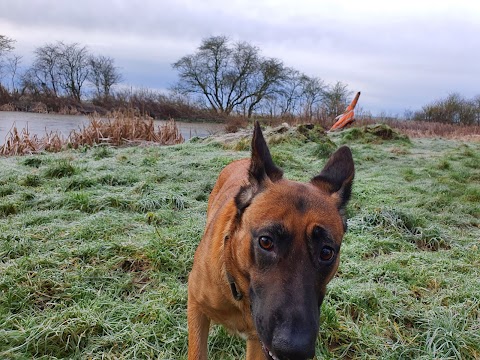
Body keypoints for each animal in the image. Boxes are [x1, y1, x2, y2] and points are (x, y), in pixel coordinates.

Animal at [188, 122, 352, 358]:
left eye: (326, 252)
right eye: (266, 242)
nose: (294, 350)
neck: (238, 292)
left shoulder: (258, 343)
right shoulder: (195, 305)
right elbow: (197, 351)